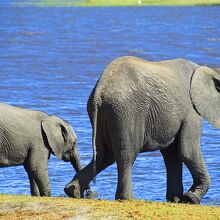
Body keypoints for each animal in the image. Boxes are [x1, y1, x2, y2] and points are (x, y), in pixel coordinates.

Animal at [64, 55, 219, 204]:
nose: (187, 196)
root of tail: (99, 91)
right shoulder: (191, 110)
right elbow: (187, 150)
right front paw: (190, 198)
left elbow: (172, 154)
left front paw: (176, 199)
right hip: (126, 112)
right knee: (126, 156)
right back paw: (126, 199)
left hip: (104, 115)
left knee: (104, 156)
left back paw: (72, 191)